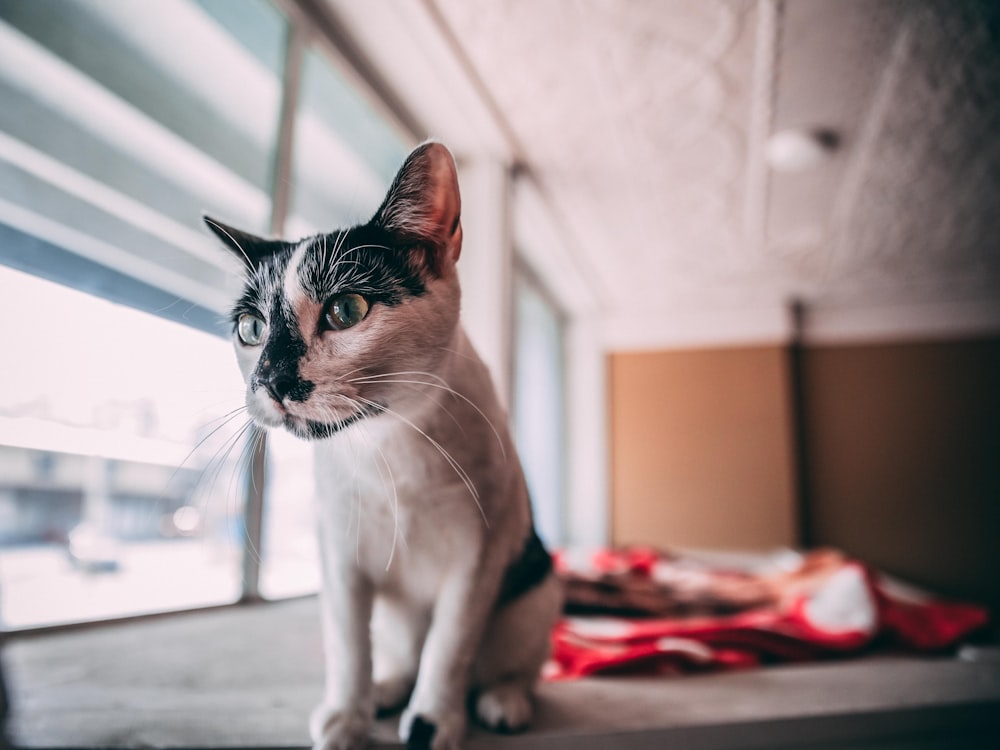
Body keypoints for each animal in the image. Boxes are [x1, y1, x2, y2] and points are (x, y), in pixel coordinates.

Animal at [203, 142, 564, 750]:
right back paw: (388, 689)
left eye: (347, 310)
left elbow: (449, 648)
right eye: (251, 329)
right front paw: (348, 718)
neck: (390, 444)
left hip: (533, 593)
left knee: (506, 665)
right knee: (400, 656)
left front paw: (432, 723)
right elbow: (349, 646)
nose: (272, 380)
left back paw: (503, 699)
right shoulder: (338, 553)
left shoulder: (478, 558)